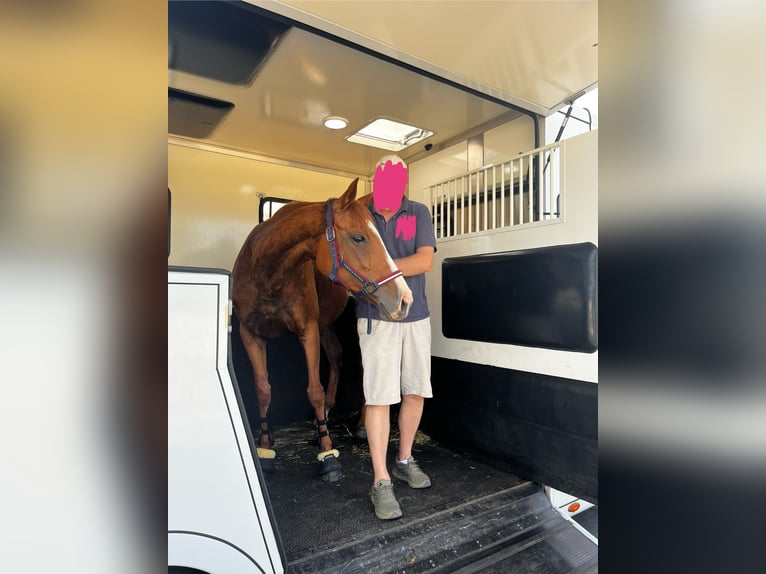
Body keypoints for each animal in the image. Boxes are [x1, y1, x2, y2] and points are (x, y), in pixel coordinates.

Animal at [232, 178, 413, 482]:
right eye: (359, 237)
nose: (402, 297)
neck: (268, 271)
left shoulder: (308, 331)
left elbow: (314, 389)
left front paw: (328, 454)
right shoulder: (251, 334)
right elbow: (262, 389)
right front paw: (265, 448)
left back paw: (360, 425)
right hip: (326, 327)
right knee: (337, 357)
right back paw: (327, 414)